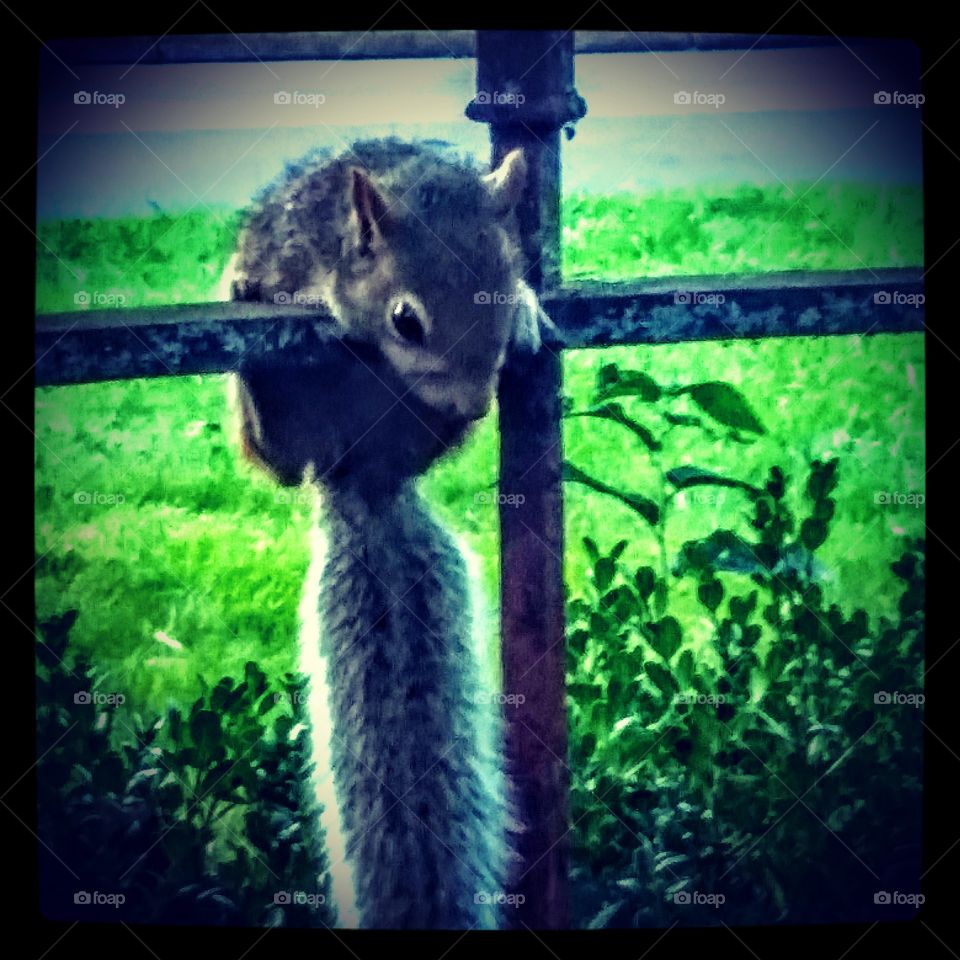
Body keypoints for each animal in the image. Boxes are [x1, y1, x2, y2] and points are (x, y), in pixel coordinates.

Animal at [221, 139, 549, 928]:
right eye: (406, 321)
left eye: (505, 289)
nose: (474, 402)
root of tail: (360, 470)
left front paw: (529, 310)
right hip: (282, 435)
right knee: (274, 449)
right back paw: (247, 332)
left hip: (428, 429)